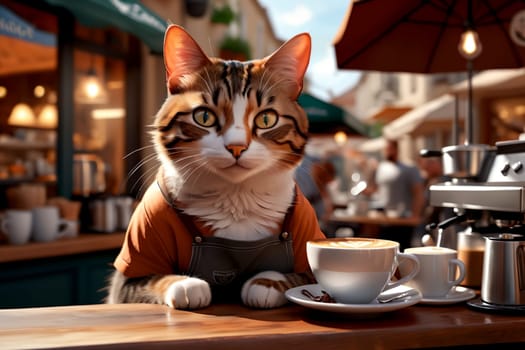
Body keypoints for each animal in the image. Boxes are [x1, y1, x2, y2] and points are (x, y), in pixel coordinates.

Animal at [107, 25, 326, 308]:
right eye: (204, 116)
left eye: (266, 119)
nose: (236, 147)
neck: (236, 198)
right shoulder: (137, 251)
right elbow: (151, 280)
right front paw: (186, 284)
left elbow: (302, 275)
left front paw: (266, 283)